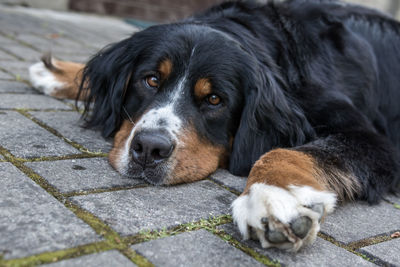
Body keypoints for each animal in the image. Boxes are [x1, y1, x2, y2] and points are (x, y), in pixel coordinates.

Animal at [28, 0, 400, 251]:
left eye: (214, 100)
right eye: (151, 80)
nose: (149, 148)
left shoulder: (371, 139)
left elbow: (283, 152)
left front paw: (271, 196)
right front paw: (58, 71)